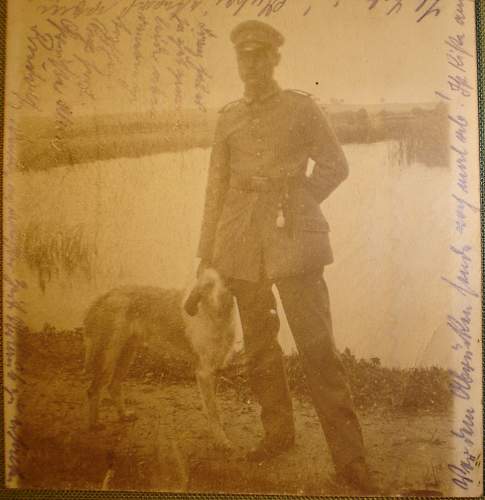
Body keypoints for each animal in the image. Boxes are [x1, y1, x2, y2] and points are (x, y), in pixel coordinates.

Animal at [83, 270, 236, 450]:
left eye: (226, 281)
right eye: (208, 285)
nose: (221, 297)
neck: (214, 316)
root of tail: (105, 296)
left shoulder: (215, 370)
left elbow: (214, 407)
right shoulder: (204, 373)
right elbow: (213, 411)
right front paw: (221, 440)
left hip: (127, 354)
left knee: (113, 386)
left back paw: (123, 415)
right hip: (109, 358)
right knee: (93, 390)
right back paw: (94, 424)